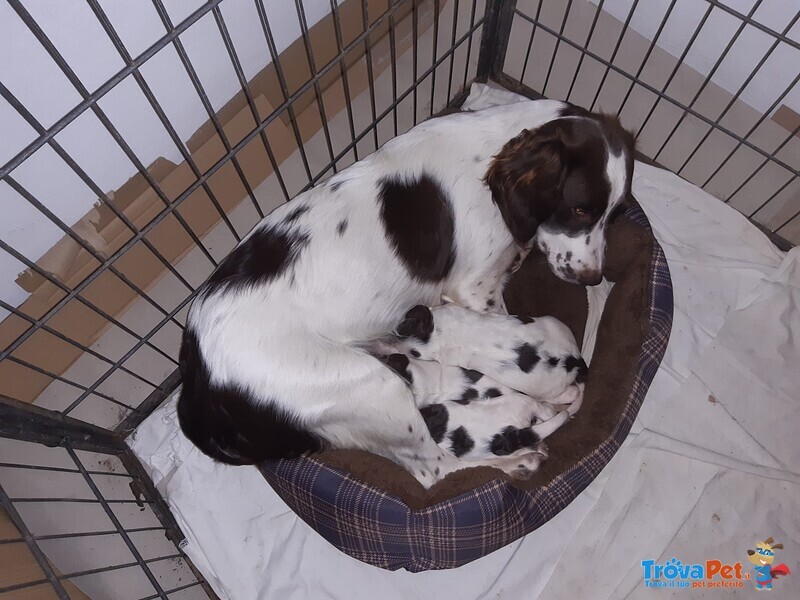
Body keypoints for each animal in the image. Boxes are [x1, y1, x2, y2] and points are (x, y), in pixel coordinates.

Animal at [178, 99, 636, 488]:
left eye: (614, 214)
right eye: (579, 209)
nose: (593, 278)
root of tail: (198, 378)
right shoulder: (476, 288)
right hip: (373, 387)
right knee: (436, 470)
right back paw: (517, 458)